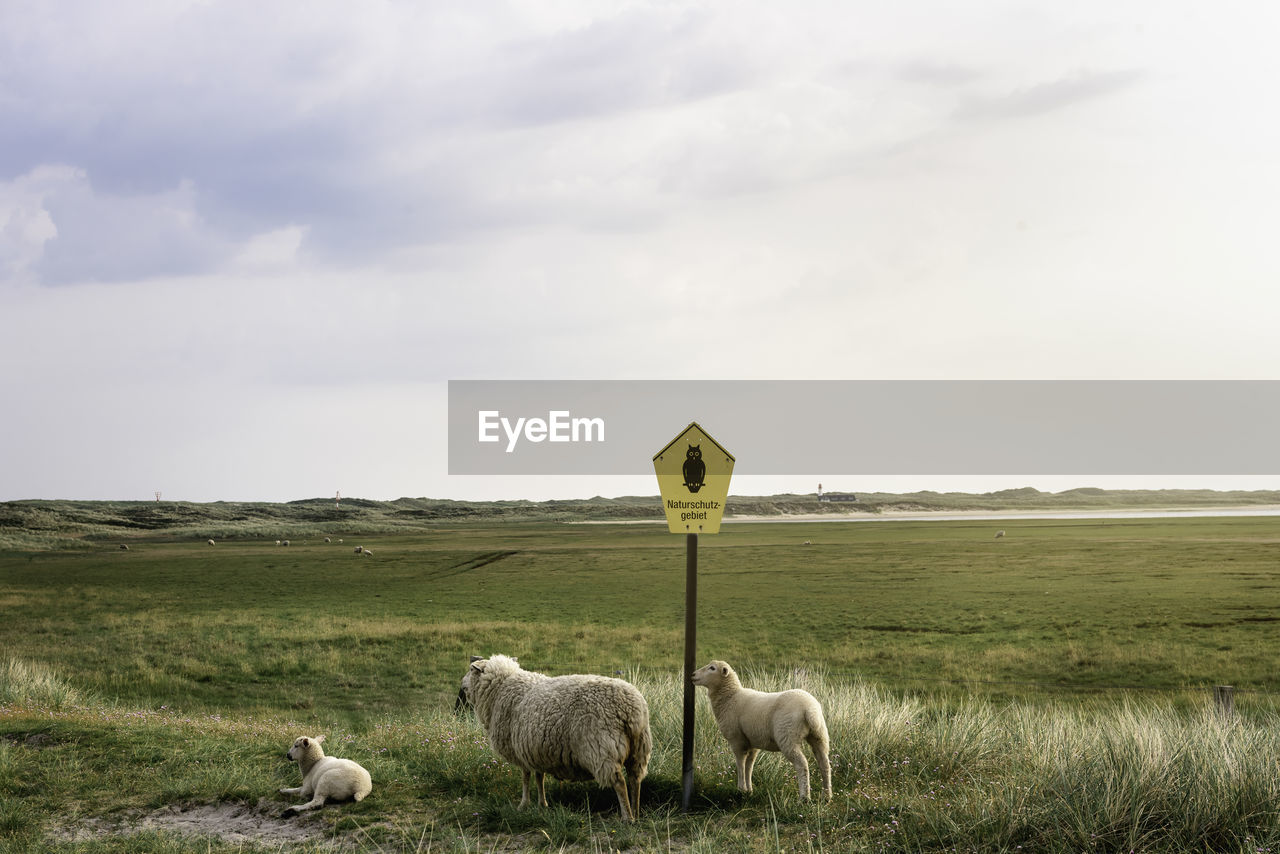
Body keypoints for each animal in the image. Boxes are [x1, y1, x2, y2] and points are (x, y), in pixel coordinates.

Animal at [463, 655, 650, 819]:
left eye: (471, 670)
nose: (462, 684)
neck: (500, 689)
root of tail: (630, 708)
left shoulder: (520, 752)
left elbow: (526, 778)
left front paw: (523, 804)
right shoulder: (534, 749)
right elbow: (539, 777)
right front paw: (542, 804)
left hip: (601, 748)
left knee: (619, 783)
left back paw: (627, 818)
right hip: (639, 749)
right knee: (635, 779)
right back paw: (636, 812)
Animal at [696, 660, 834, 804]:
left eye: (712, 668)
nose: (693, 675)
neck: (730, 697)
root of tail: (810, 709)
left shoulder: (737, 739)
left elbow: (740, 763)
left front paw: (741, 789)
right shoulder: (752, 741)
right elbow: (749, 765)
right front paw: (749, 790)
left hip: (787, 737)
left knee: (802, 765)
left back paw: (804, 798)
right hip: (820, 735)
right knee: (824, 764)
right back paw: (826, 796)